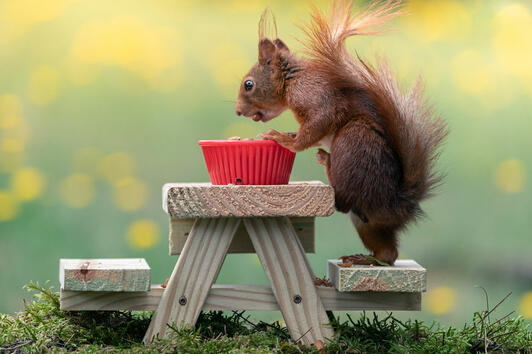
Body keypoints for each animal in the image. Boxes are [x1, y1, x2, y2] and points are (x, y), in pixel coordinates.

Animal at [235, 0, 446, 266]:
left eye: (248, 84)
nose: (237, 111)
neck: (293, 80)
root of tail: (396, 204)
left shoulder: (319, 99)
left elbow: (313, 129)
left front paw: (284, 139)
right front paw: (289, 134)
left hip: (351, 142)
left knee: (342, 200)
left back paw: (327, 160)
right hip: (366, 222)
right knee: (388, 254)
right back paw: (365, 258)